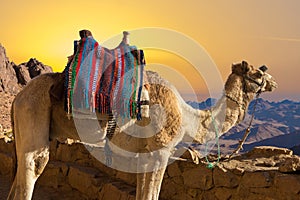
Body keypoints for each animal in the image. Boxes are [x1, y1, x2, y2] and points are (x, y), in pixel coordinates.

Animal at [7, 60, 278, 199]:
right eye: (257, 74)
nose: (273, 83)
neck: (188, 118)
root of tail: (19, 97)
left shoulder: (144, 155)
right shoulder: (160, 151)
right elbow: (151, 194)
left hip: (24, 121)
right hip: (34, 112)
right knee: (33, 167)